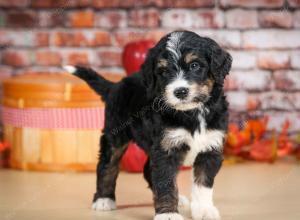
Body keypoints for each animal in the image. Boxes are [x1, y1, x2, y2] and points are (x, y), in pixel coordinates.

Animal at [63, 29, 232, 220]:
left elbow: (203, 183)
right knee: (107, 165)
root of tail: (115, 86)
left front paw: (204, 210)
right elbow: (165, 182)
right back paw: (103, 199)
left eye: (195, 65)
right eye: (163, 71)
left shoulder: (210, 147)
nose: (180, 91)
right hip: (114, 135)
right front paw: (168, 214)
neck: (192, 113)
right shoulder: (166, 148)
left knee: (146, 170)